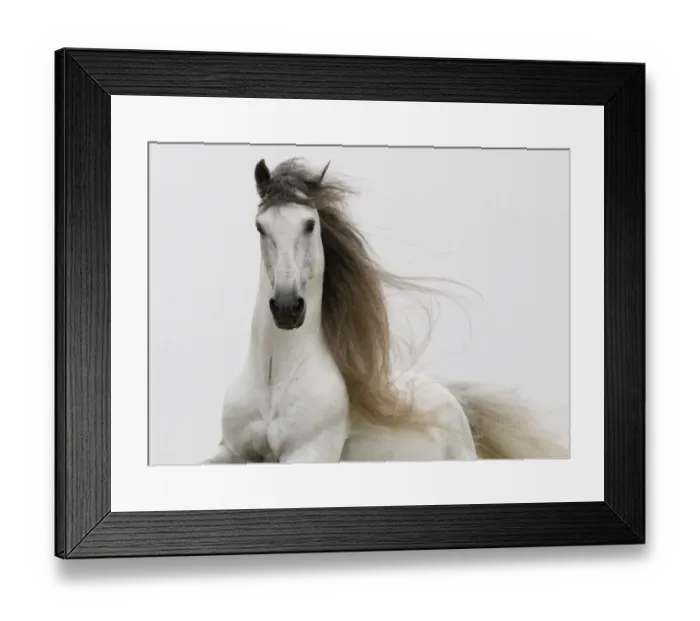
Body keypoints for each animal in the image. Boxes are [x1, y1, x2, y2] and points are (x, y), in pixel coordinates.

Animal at [202, 157, 568, 465]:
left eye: (309, 224)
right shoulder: (232, 452)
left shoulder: (306, 455)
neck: (273, 377)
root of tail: (453, 402)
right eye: (260, 226)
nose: (287, 308)